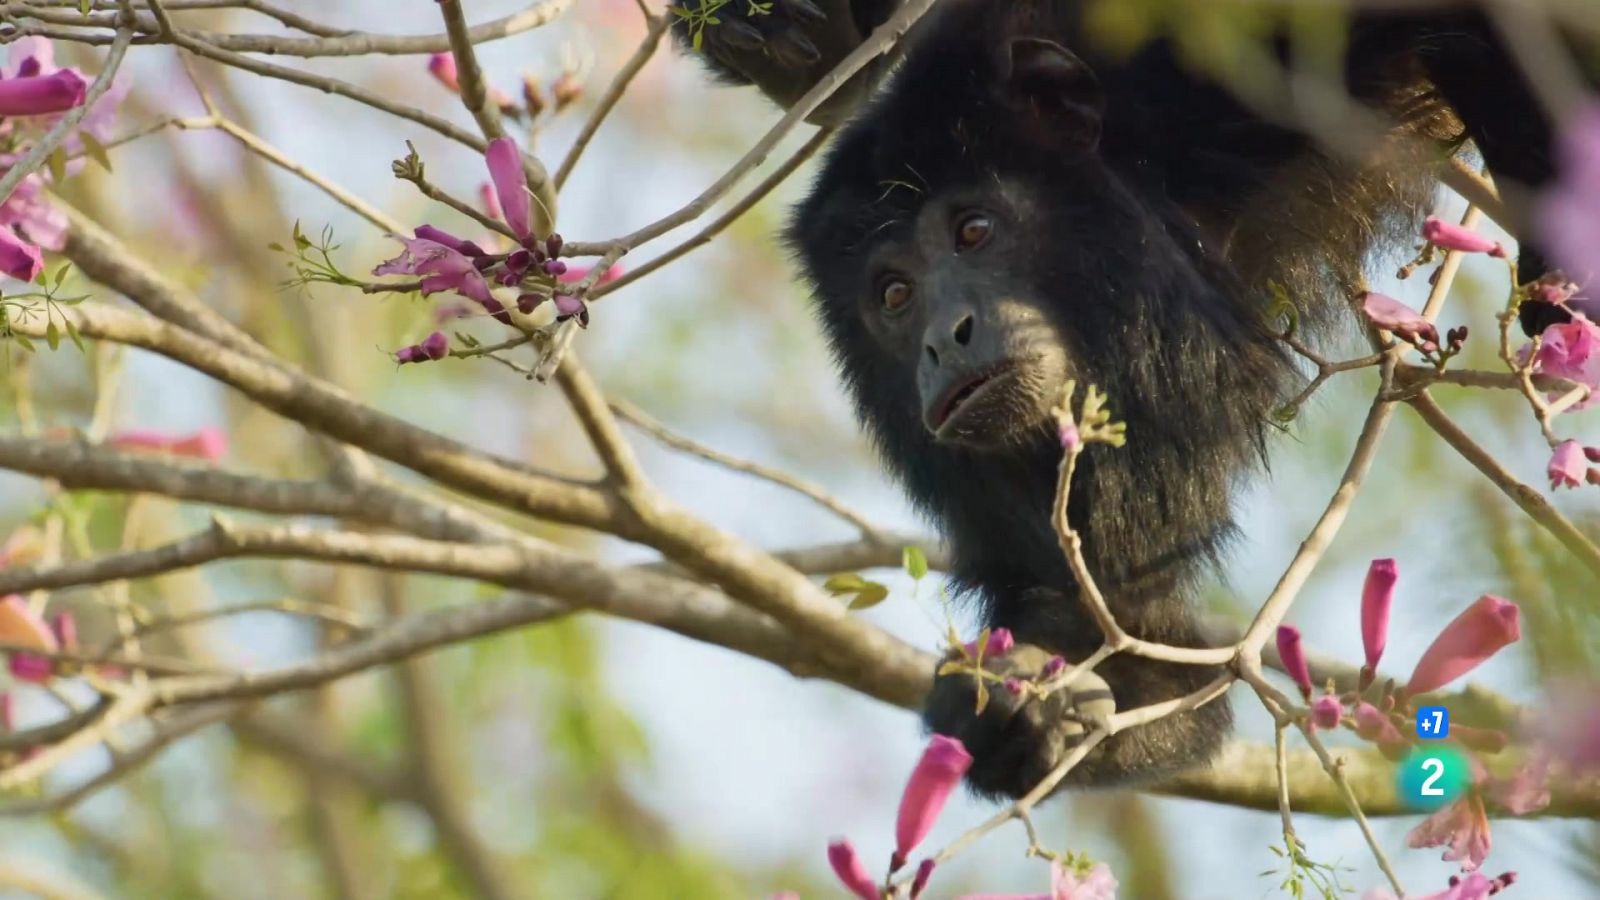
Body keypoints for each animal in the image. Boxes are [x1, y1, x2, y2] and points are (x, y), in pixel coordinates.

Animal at [678, 3, 1600, 794]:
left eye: (974, 231)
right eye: (894, 295)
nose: (943, 339)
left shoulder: (1197, 70)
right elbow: (1134, 629)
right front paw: (1023, 704)